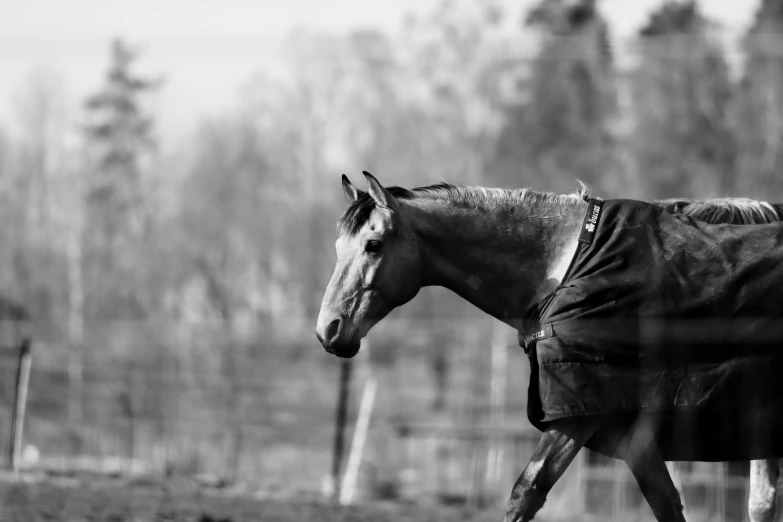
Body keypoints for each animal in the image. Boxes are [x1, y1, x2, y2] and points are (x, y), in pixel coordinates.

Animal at [316, 171, 783, 520]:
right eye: (338, 246)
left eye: (373, 244)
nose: (328, 330)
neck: (568, 265)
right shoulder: (625, 422)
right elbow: (666, 501)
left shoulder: (576, 416)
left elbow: (526, 491)